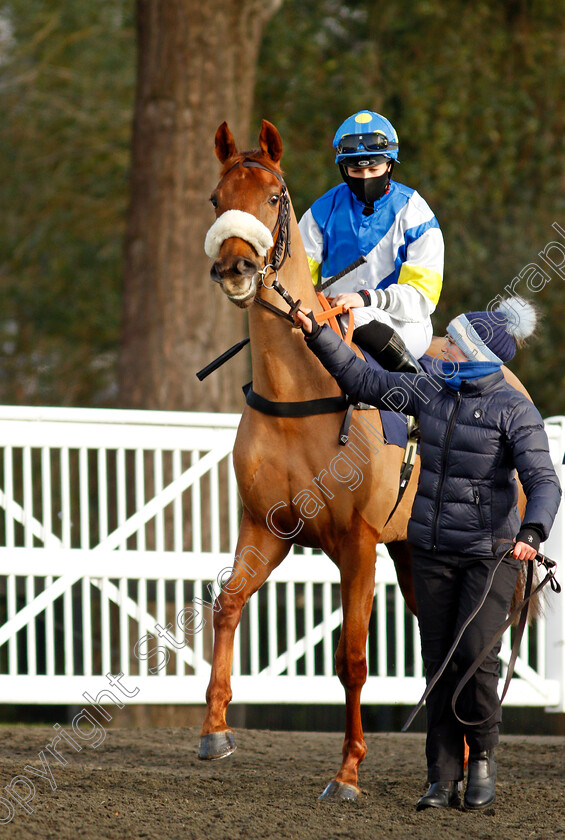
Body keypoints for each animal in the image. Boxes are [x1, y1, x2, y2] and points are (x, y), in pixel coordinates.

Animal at [198, 120, 528, 800]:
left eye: (274, 196)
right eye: (217, 199)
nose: (236, 267)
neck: (301, 396)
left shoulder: (359, 542)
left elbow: (352, 658)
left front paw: (348, 771)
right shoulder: (264, 528)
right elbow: (228, 604)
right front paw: (215, 729)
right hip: (414, 556)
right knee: (449, 648)